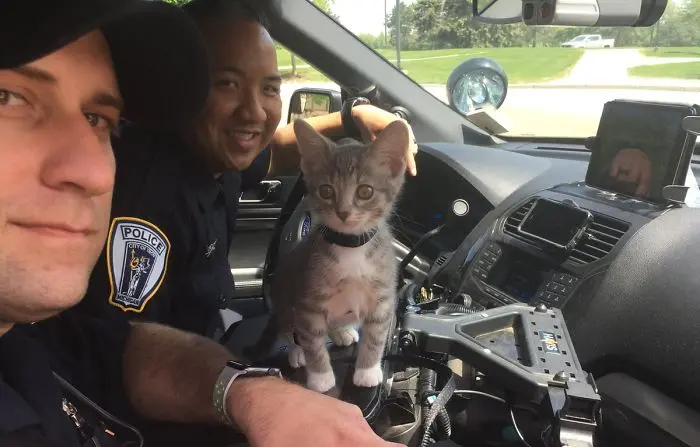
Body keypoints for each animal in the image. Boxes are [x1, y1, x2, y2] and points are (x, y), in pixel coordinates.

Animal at [268, 118, 410, 392]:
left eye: (365, 191)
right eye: (326, 191)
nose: (343, 212)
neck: (351, 247)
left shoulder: (382, 295)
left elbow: (376, 334)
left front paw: (367, 370)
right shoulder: (308, 300)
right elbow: (312, 340)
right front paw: (320, 377)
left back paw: (341, 331)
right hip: (282, 296)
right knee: (288, 331)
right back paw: (296, 351)